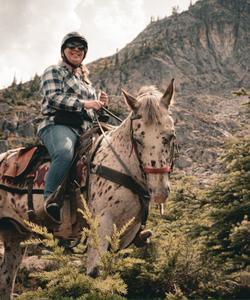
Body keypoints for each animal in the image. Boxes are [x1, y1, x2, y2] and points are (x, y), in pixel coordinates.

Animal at [0, 79, 176, 298]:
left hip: (15, 235)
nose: (159, 191)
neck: (120, 164)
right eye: (138, 138)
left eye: (170, 135)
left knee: (6, 281)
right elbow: (96, 274)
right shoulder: (101, 225)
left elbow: (112, 277)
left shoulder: (124, 234)